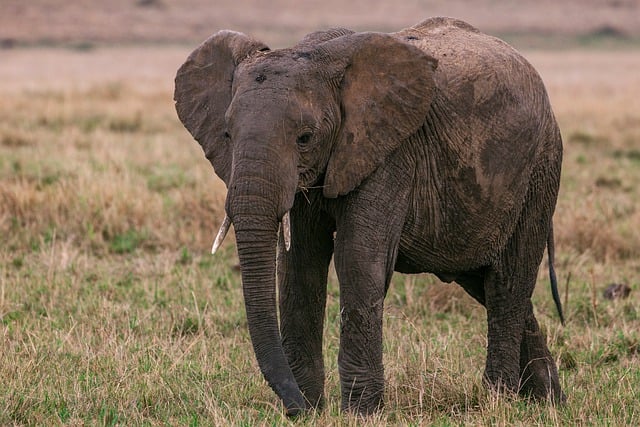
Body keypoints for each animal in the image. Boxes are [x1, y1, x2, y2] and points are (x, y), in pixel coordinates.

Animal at [175, 17, 564, 418]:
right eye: (226, 134)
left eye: (305, 138)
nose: (294, 407)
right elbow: (300, 264)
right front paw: (312, 408)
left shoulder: (390, 151)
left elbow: (359, 259)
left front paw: (359, 412)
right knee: (484, 280)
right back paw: (548, 400)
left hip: (540, 171)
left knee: (507, 282)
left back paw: (498, 400)